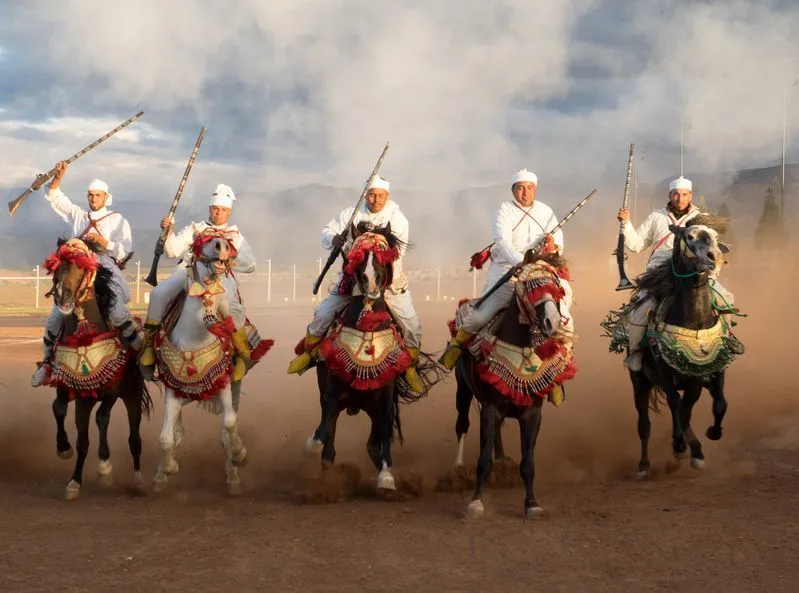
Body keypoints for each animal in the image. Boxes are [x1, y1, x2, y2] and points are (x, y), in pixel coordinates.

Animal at [151, 234, 247, 492]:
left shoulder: (224, 385)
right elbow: (165, 438)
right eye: (200, 241)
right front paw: (166, 470)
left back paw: (234, 476)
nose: (222, 246)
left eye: (227, 243)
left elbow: (230, 423)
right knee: (177, 431)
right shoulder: (173, 391)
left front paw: (239, 455)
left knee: (228, 427)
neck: (195, 338)